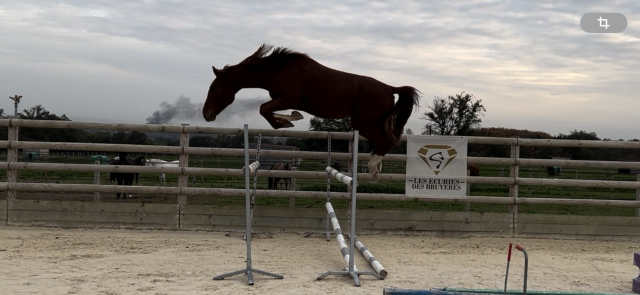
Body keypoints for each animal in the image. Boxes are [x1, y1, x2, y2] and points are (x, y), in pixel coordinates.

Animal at [201, 44, 420, 183]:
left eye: (213, 88)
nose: (206, 114)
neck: (276, 70)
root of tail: (390, 88)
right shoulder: (283, 100)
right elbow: (267, 110)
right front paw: (291, 118)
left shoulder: (288, 98)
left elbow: (264, 109)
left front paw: (288, 121)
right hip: (367, 123)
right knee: (386, 141)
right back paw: (377, 167)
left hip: (363, 123)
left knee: (387, 140)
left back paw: (374, 168)